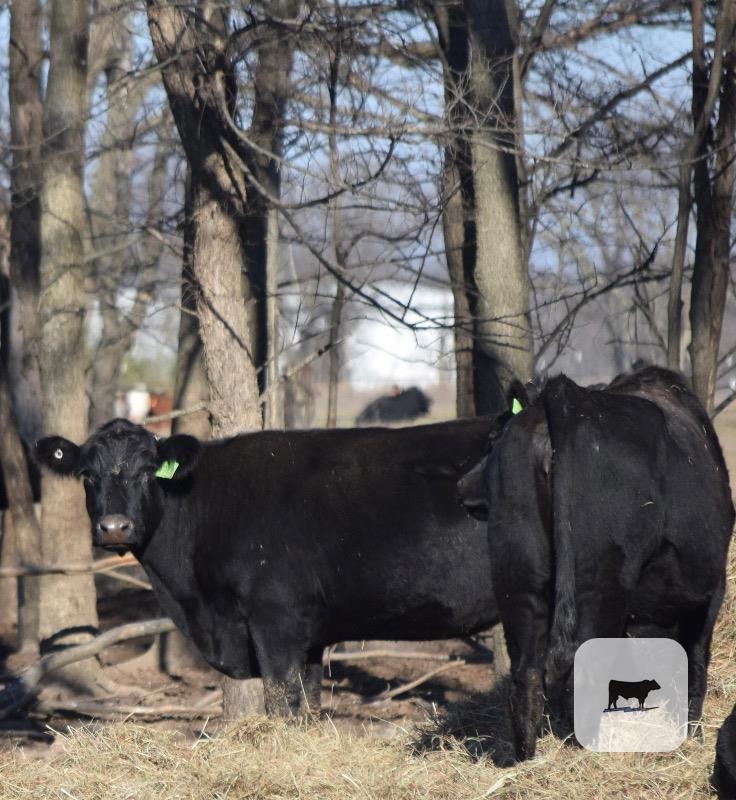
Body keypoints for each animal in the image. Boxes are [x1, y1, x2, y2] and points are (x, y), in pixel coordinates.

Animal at [35, 417, 499, 716]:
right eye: (86, 475)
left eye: (149, 472)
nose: (114, 527)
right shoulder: (310, 634)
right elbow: (308, 704)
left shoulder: (276, 618)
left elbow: (280, 702)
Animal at [458, 366, 734, 761]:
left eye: (491, 440)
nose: (462, 486)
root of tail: (568, 395)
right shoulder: (710, 591)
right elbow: (694, 663)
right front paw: (691, 735)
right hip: (603, 582)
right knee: (585, 672)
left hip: (518, 577)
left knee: (526, 677)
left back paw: (526, 761)